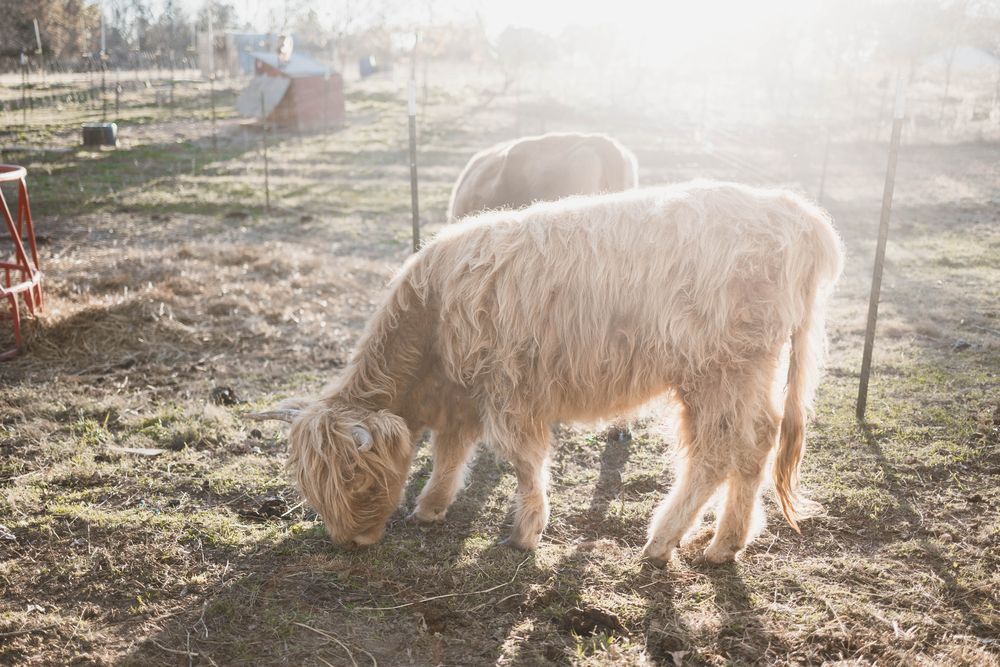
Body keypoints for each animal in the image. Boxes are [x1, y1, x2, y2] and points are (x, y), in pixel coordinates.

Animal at [250, 181, 844, 566]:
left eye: (353, 477)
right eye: (310, 485)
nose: (349, 543)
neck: (432, 317)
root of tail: (796, 212)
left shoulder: (508, 391)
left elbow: (522, 460)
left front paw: (526, 532)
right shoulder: (463, 398)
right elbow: (450, 452)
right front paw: (432, 507)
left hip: (718, 371)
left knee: (718, 452)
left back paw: (662, 542)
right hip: (749, 370)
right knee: (757, 441)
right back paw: (724, 544)